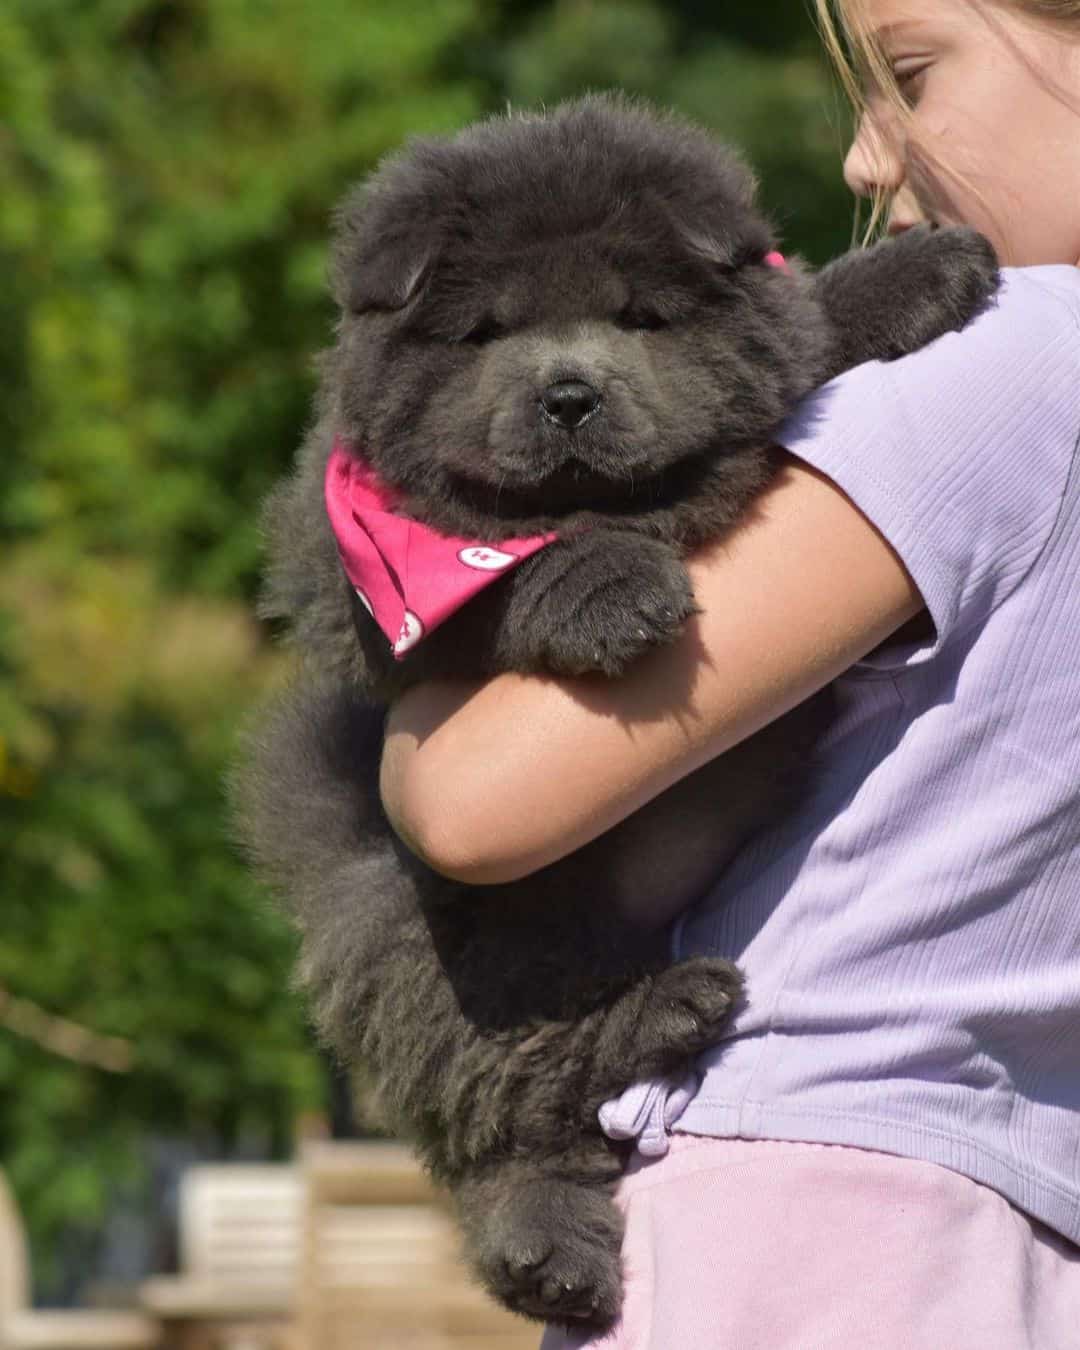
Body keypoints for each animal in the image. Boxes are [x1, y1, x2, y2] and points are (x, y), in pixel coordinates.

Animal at [233, 97, 993, 1328]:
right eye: (488, 333)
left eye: (638, 317)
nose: (569, 396)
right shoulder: (364, 582)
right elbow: (503, 566)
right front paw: (610, 587)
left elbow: (792, 340)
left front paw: (913, 274)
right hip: (449, 926)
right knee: (515, 1084)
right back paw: (654, 1039)